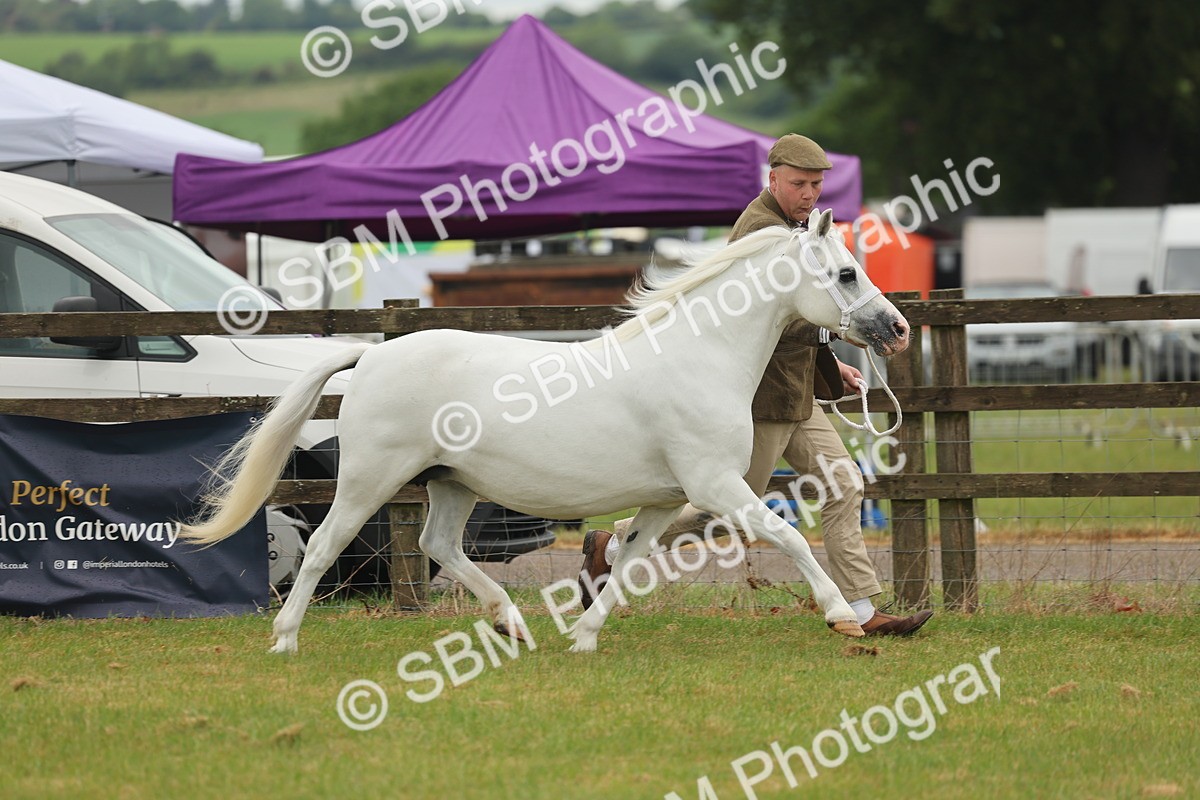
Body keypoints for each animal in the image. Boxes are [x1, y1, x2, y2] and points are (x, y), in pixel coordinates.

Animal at [180, 209, 910, 654]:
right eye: (846, 272)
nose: (898, 328)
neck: (698, 357)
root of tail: (371, 356)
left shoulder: (667, 500)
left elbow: (628, 560)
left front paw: (583, 635)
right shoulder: (717, 486)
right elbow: (790, 535)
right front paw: (841, 615)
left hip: (451, 484)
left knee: (439, 545)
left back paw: (512, 622)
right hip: (369, 480)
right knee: (326, 546)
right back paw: (286, 638)